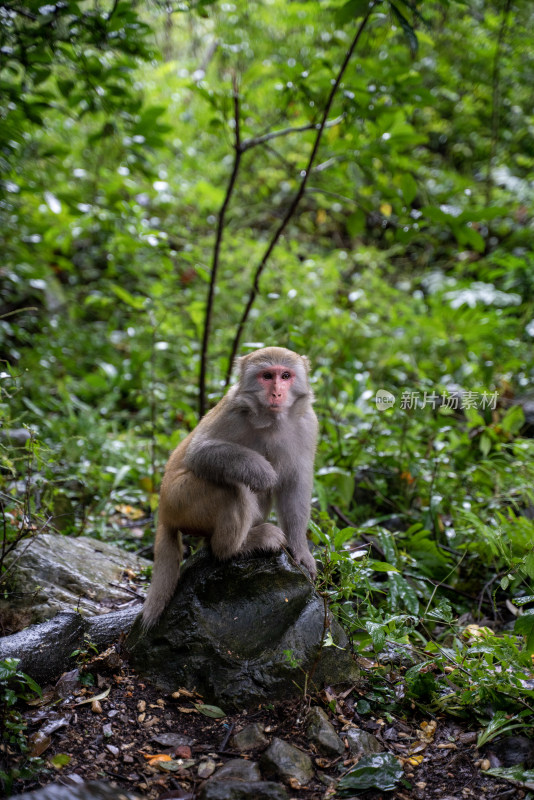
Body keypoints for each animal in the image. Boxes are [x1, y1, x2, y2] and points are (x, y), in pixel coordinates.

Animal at [140, 346, 320, 628]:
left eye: (286, 375)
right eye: (267, 376)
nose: (277, 392)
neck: (271, 420)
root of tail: (164, 513)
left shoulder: (307, 425)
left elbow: (295, 485)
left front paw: (301, 551)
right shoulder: (233, 412)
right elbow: (199, 452)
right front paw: (261, 470)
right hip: (181, 500)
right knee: (232, 488)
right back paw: (235, 547)